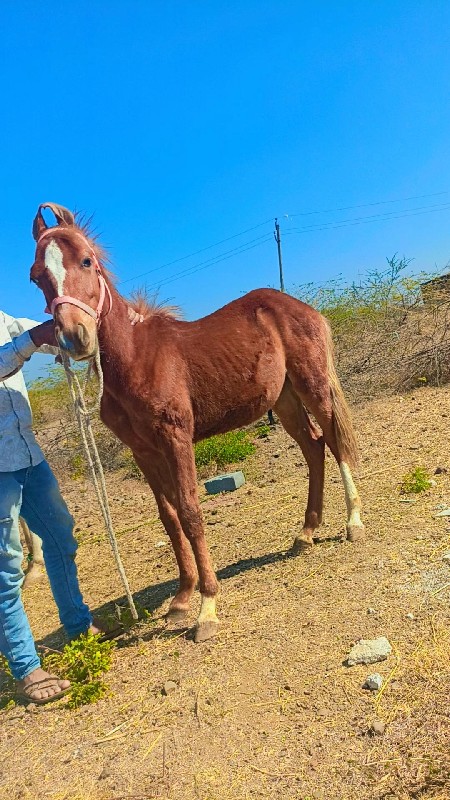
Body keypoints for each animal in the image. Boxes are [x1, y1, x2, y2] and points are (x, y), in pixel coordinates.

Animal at [29, 202, 364, 644]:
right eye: (37, 276)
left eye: (86, 261)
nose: (74, 337)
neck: (136, 358)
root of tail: (301, 308)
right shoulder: (144, 450)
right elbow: (169, 518)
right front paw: (181, 600)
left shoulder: (176, 437)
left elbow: (189, 511)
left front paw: (207, 608)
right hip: (285, 399)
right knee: (313, 445)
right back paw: (306, 533)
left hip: (313, 384)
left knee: (335, 441)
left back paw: (353, 523)